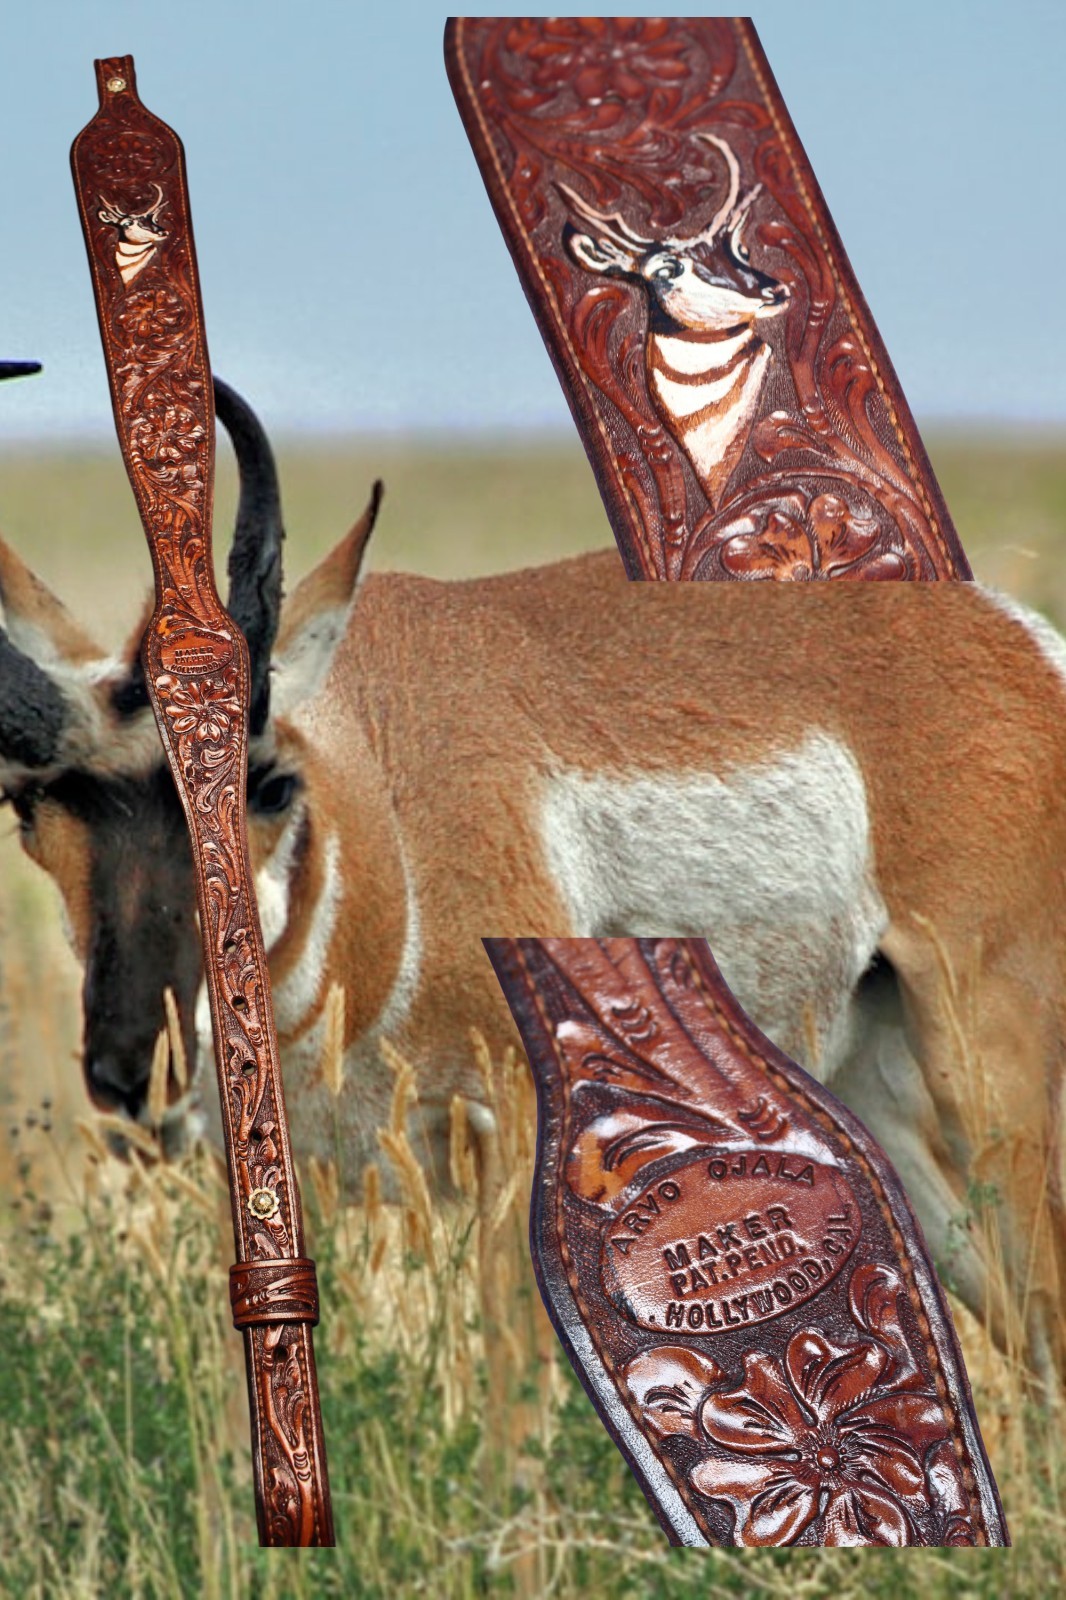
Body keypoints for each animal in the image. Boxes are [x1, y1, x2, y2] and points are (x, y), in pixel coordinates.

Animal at [0, 370, 1063, 1388]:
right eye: (28, 805)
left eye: (267, 783)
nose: (139, 1073)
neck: (383, 786)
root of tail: (1009, 634)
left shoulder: (511, 1143)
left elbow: (510, 1393)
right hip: (875, 1085)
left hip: (987, 1076)